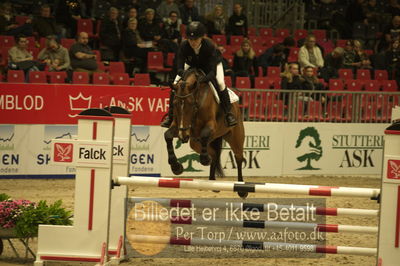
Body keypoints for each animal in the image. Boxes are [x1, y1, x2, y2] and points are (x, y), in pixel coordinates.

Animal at [165, 68, 247, 197]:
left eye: (190, 103)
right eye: (174, 103)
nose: (183, 136)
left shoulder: (211, 125)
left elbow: (204, 135)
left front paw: (203, 159)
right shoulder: (178, 126)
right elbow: (167, 135)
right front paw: (176, 167)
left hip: (235, 136)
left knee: (238, 158)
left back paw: (241, 189)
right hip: (195, 142)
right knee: (214, 154)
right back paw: (213, 182)